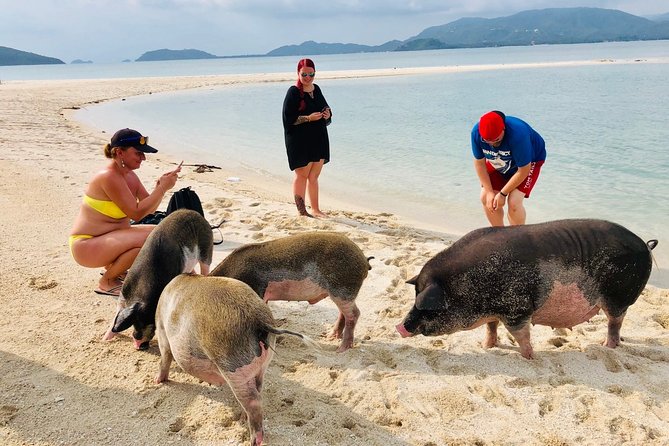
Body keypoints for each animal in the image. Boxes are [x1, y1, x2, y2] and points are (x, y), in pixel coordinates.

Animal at [396, 220, 656, 358]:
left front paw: (529, 357)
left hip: (618, 295)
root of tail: (644, 244)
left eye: (428, 307)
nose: (399, 326)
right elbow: (491, 326)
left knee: (615, 321)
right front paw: (487, 347)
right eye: (414, 296)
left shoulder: (517, 307)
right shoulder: (497, 309)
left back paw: (607, 346)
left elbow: (521, 335)